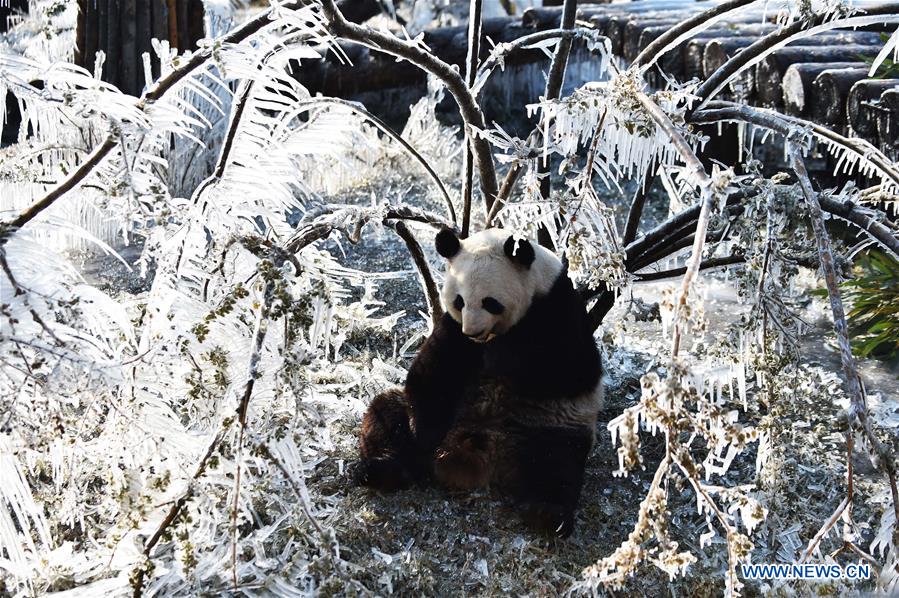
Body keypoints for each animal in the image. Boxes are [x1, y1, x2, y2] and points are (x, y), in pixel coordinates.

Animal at [355, 227, 603, 537]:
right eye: (459, 301)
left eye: (490, 302)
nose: (472, 331)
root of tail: (479, 455)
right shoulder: (452, 328)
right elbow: (434, 370)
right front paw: (423, 433)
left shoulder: (558, 311)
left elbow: (566, 369)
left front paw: (504, 356)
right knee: (387, 415)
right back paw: (381, 469)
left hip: (548, 425)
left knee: (556, 466)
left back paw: (549, 517)